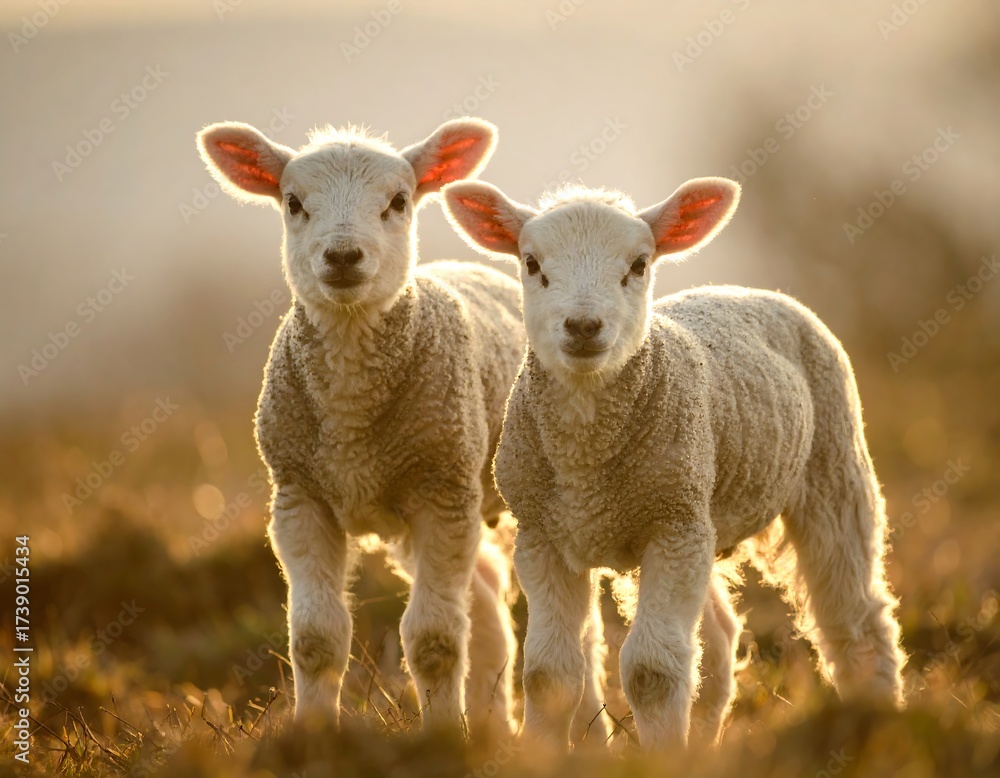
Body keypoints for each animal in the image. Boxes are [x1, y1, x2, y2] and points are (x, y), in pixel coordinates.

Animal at [195, 117, 526, 739]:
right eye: (293, 203)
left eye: (399, 202)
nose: (343, 256)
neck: (351, 423)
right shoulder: (299, 494)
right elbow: (316, 639)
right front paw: (311, 735)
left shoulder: (441, 490)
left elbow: (435, 641)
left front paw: (443, 740)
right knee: (488, 602)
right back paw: (495, 723)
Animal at [442, 177, 906, 751]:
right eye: (531, 263)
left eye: (639, 264)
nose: (583, 325)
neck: (585, 461)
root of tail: (751, 290)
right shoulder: (544, 536)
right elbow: (549, 674)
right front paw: (541, 753)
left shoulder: (670, 527)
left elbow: (652, 673)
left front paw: (659, 757)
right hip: (702, 511)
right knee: (720, 635)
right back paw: (702, 745)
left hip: (830, 469)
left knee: (856, 623)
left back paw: (874, 724)